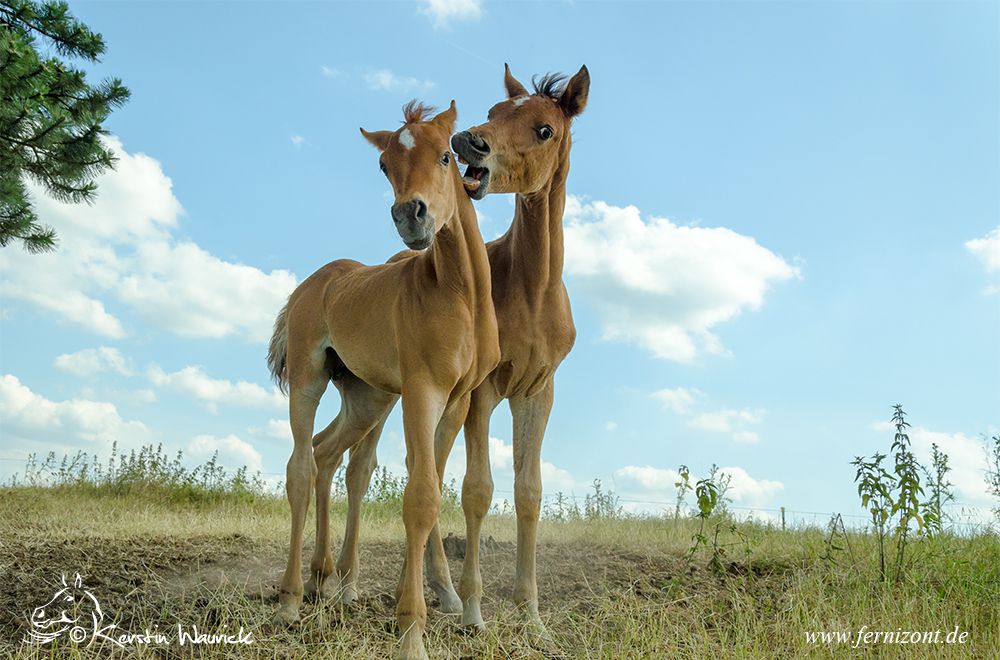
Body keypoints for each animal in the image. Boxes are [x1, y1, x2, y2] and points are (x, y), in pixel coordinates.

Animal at [268, 99, 498, 660]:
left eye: (445, 155)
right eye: (383, 166)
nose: (409, 216)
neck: (460, 294)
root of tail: (307, 286)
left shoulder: (457, 401)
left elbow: (438, 486)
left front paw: (454, 610)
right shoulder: (421, 391)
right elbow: (420, 497)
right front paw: (411, 629)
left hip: (365, 399)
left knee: (328, 455)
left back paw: (326, 581)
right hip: (308, 380)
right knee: (300, 468)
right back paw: (290, 599)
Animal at [310, 64, 592, 640]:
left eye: (545, 129)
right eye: (496, 110)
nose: (470, 142)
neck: (531, 290)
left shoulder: (539, 392)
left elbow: (528, 491)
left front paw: (531, 614)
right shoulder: (481, 393)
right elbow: (476, 490)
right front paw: (475, 609)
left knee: (370, 464)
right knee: (364, 467)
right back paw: (364, 584)